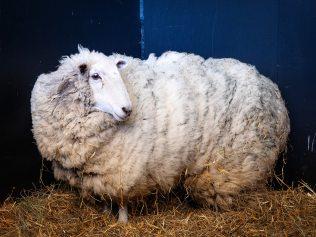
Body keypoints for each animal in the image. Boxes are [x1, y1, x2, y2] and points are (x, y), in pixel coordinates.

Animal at [30, 46, 290, 222]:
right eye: (95, 76)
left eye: (118, 75)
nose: (127, 109)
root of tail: (271, 87)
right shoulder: (98, 174)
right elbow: (104, 196)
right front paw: (104, 213)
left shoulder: (124, 171)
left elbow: (122, 201)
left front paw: (122, 223)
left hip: (233, 166)